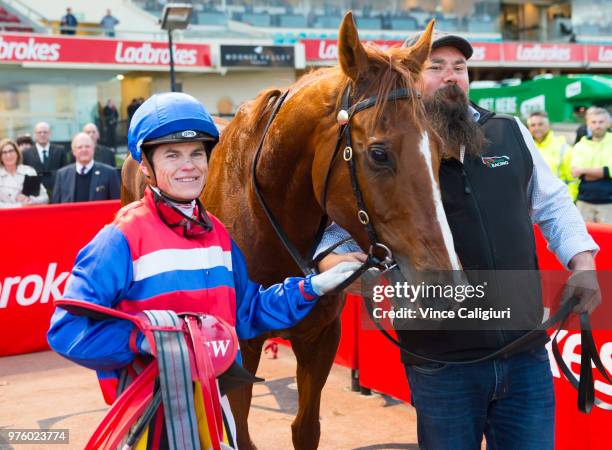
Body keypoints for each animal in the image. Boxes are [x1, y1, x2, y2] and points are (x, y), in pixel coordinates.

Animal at [122, 13, 462, 450]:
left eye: (437, 148)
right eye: (378, 153)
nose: (446, 284)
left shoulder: (320, 338)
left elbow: (305, 428)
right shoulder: (240, 348)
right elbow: (240, 433)